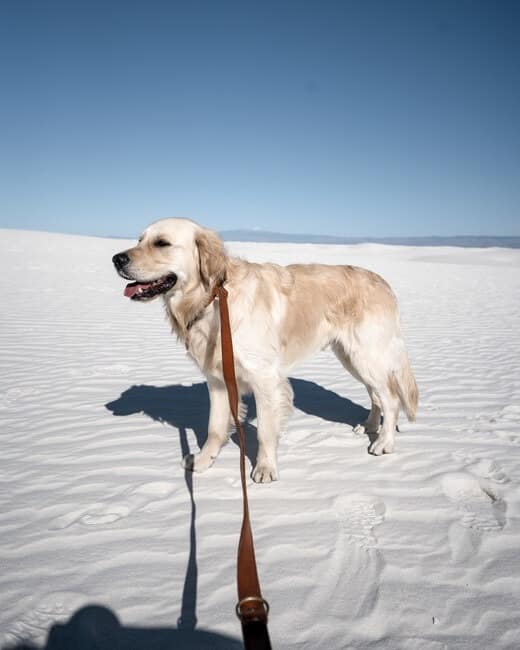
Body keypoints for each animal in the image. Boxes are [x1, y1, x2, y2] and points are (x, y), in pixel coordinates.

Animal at [112, 218, 418, 480]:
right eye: (139, 240)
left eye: (161, 243)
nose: (117, 259)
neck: (213, 300)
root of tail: (384, 284)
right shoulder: (218, 381)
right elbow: (214, 428)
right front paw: (203, 461)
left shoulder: (265, 379)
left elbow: (265, 433)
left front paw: (266, 468)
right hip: (352, 357)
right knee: (377, 395)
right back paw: (369, 426)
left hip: (365, 355)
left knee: (391, 398)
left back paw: (384, 442)